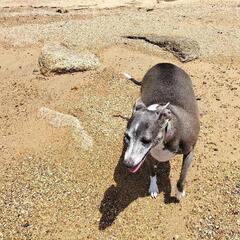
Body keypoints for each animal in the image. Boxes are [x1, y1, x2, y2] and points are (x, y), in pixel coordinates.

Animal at [123, 62, 200, 201]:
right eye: (126, 136)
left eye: (146, 140)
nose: (127, 164)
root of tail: (164, 63)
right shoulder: (147, 156)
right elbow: (152, 172)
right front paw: (153, 188)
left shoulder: (189, 152)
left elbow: (182, 176)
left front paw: (179, 192)